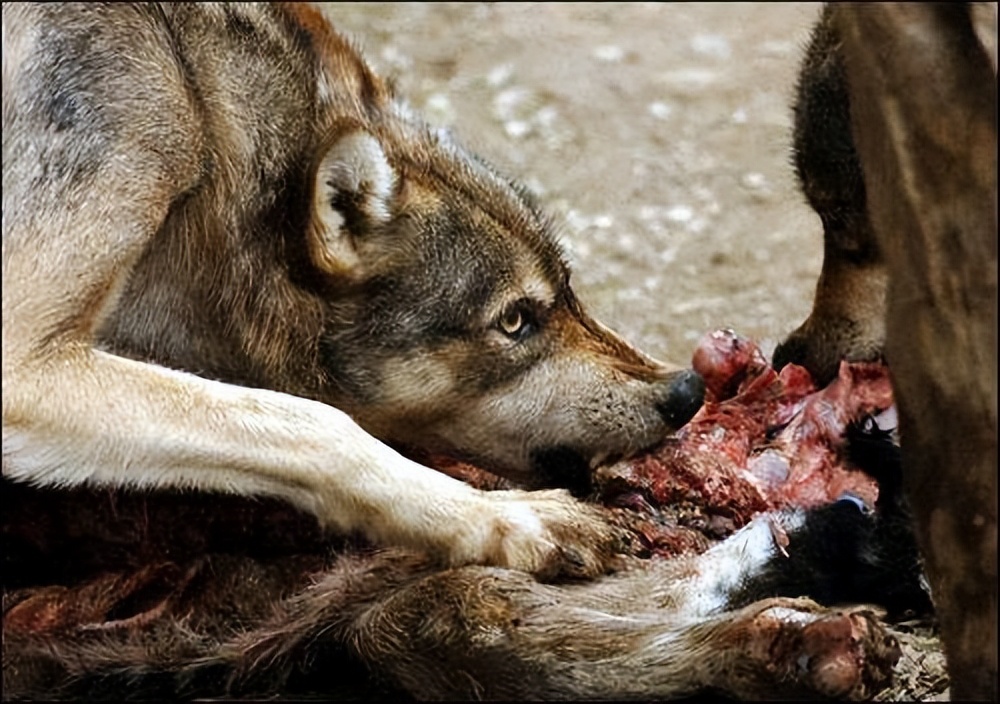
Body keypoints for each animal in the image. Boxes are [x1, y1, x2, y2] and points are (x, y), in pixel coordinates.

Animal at [0, 2, 708, 580]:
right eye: (515, 320)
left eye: (568, 290)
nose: (686, 391)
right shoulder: (24, 363)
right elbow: (319, 424)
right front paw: (506, 521)